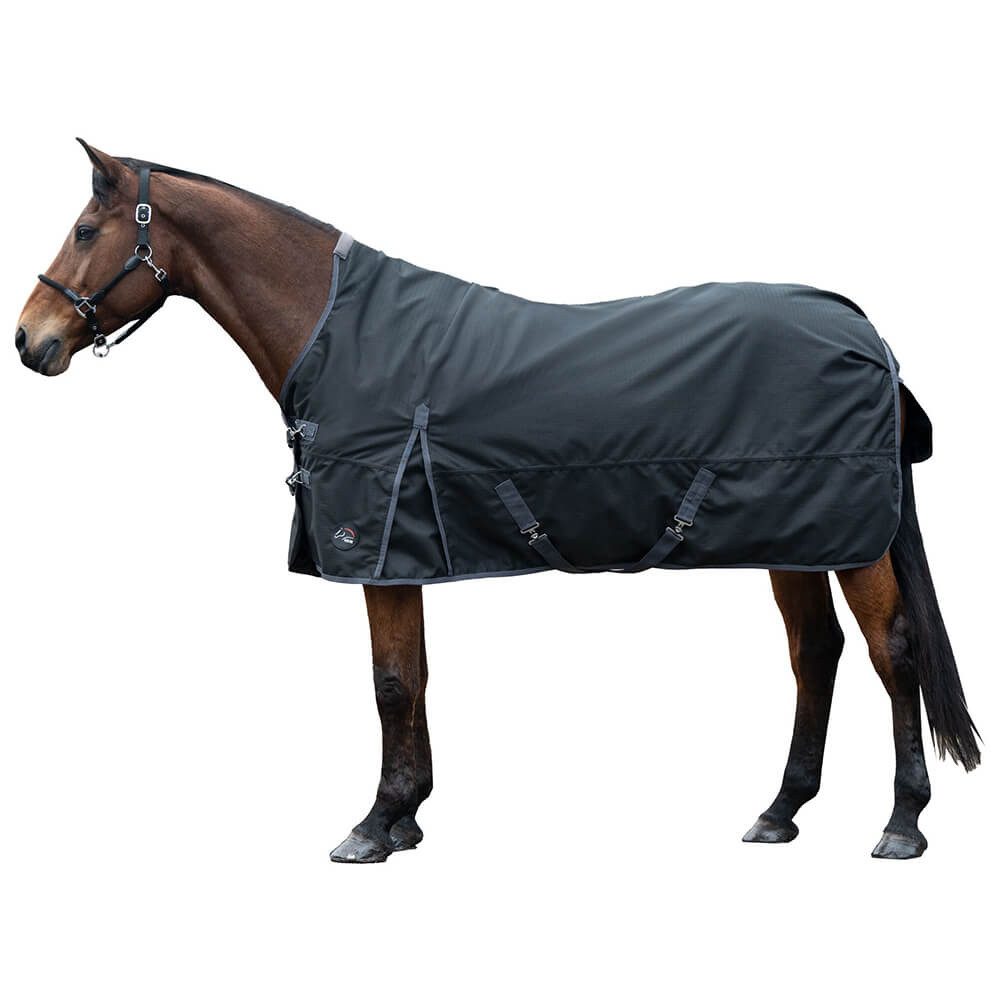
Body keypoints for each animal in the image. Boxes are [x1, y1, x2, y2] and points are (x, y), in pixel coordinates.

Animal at [14, 140, 980, 862]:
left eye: (86, 229)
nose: (30, 341)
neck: (344, 335)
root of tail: (862, 328)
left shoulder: (379, 546)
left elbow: (390, 683)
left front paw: (374, 825)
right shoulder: (403, 556)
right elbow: (413, 676)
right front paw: (407, 817)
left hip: (851, 540)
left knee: (891, 652)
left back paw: (901, 824)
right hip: (798, 534)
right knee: (816, 653)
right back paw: (780, 813)